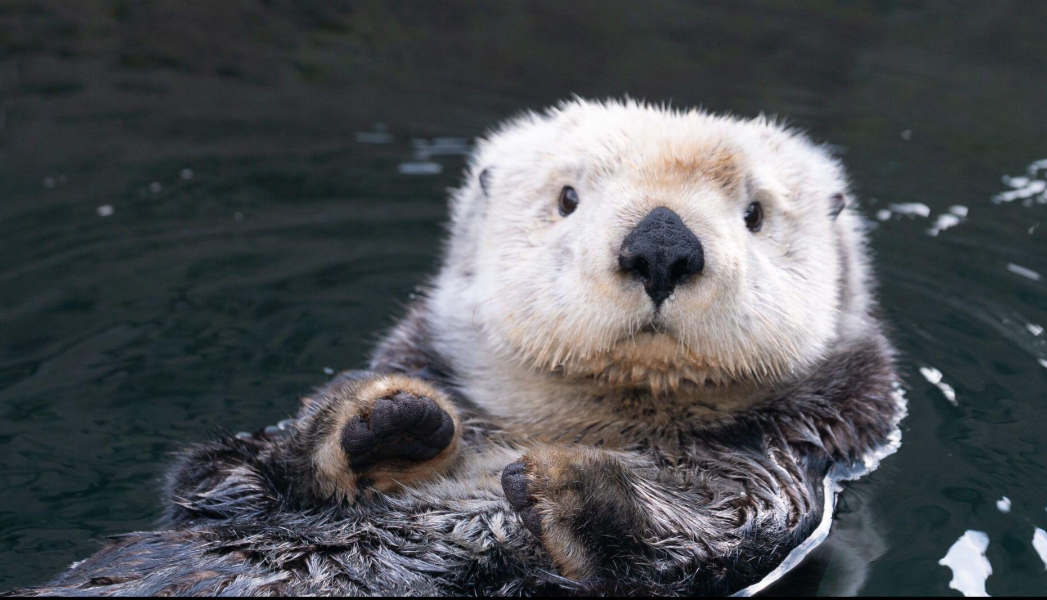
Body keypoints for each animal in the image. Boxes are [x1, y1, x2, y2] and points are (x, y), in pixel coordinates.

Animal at [9, 99, 905, 597]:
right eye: (568, 197)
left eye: (753, 213)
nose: (661, 245)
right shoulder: (224, 491)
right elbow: (221, 474)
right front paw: (383, 420)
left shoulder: (775, 481)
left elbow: (696, 543)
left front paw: (570, 488)